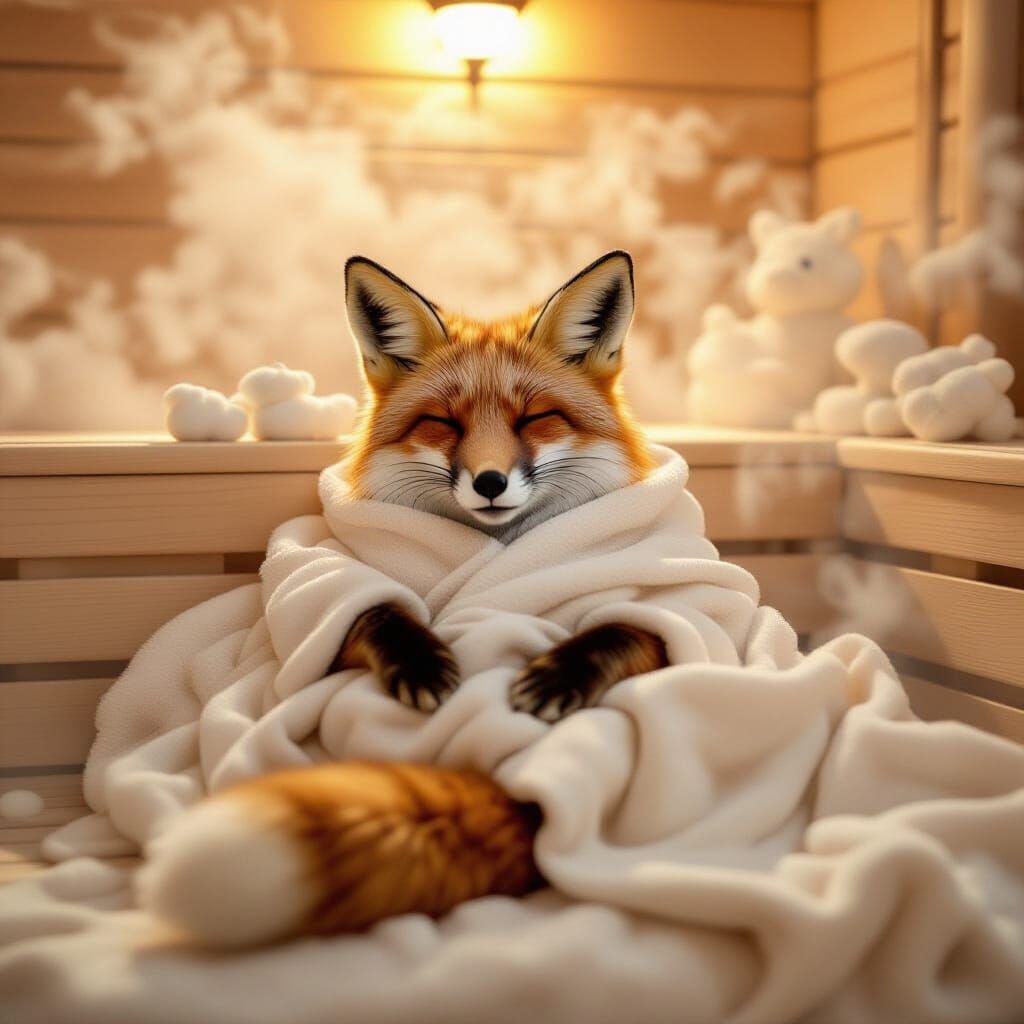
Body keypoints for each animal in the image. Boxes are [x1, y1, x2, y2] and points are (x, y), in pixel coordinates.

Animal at [137, 252, 669, 948]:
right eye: (443, 423)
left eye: (534, 418)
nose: (490, 481)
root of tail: (522, 786)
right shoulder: (330, 580)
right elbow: (372, 611)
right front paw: (420, 663)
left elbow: (623, 628)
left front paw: (560, 675)